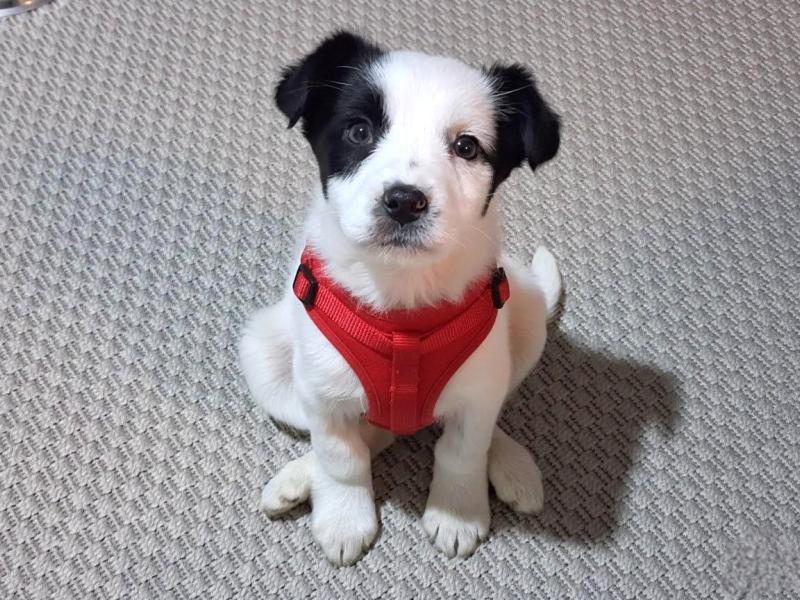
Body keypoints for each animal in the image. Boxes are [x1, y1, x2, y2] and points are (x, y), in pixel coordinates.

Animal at [239, 31, 561, 565]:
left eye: (467, 147)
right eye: (359, 131)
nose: (405, 201)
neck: (400, 300)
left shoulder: (478, 385)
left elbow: (463, 449)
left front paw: (457, 510)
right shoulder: (322, 389)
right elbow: (341, 454)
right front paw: (344, 516)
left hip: (528, 319)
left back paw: (513, 466)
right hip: (266, 357)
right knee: (371, 433)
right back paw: (301, 477)